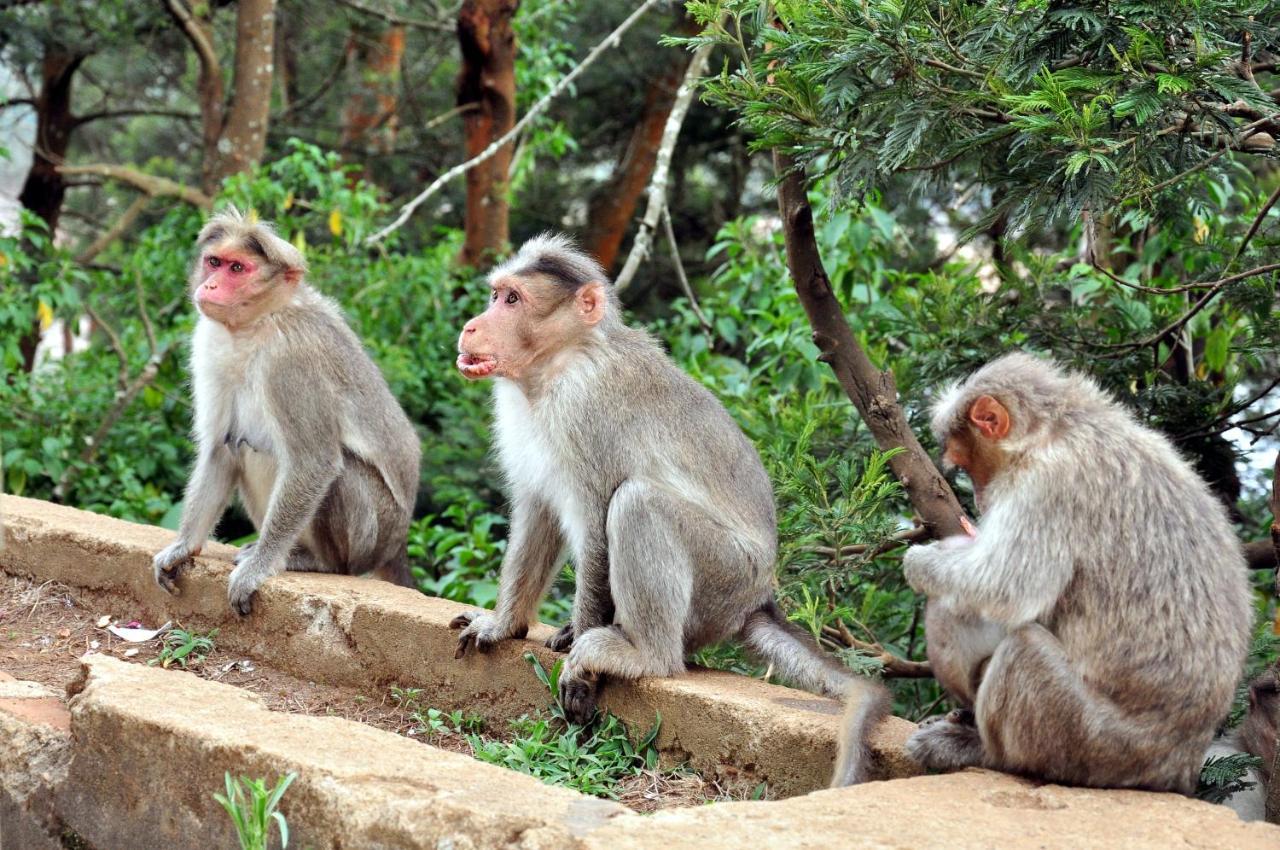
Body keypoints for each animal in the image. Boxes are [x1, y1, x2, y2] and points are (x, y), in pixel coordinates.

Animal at [149, 208, 419, 614]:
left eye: (237, 268)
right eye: (214, 262)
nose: (210, 286)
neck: (257, 324)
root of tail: (396, 544)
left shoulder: (291, 359)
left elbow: (314, 461)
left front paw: (259, 567)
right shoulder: (207, 343)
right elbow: (218, 448)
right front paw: (183, 546)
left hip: (373, 533)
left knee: (337, 471)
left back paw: (316, 561)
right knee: (242, 445)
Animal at [896, 353, 1254, 798]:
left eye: (966, 463)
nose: (977, 499)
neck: (1059, 428)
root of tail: (1178, 766)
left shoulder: (1047, 485)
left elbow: (1004, 586)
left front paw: (920, 560)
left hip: (1091, 742)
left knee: (1020, 646)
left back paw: (985, 752)